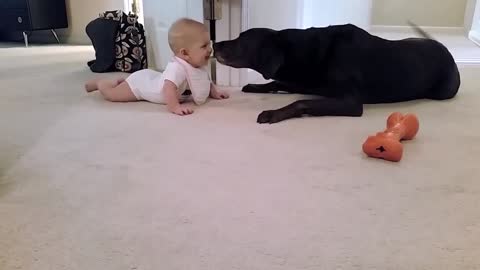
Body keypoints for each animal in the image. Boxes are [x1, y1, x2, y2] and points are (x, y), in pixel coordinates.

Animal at [214, 22, 462, 124]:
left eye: (241, 39)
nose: (215, 44)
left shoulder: (351, 102)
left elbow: (301, 102)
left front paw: (273, 113)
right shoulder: (305, 80)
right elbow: (277, 83)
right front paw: (255, 86)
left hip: (443, 91)